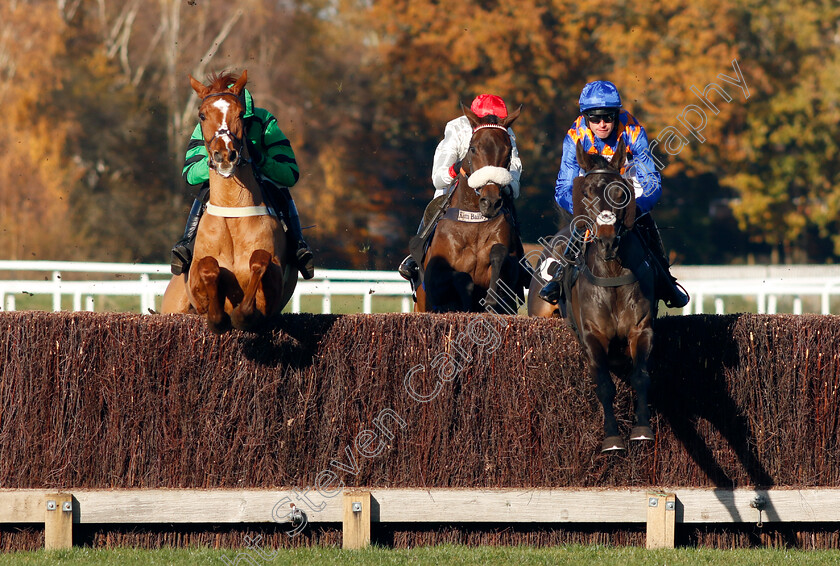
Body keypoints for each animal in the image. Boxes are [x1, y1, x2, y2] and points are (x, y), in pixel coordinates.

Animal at [162, 73, 296, 336]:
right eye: (202, 115)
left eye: (240, 114)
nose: (225, 155)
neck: (233, 210)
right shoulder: (196, 276)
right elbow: (208, 266)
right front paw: (218, 317)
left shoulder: (274, 283)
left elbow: (260, 261)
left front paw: (241, 315)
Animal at [416, 105, 524, 316]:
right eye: (473, 148)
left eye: (508, 152)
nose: (490, 202)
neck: (474, 221)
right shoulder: (434, 278)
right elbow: (462, 278)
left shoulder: (513, 269)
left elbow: (499, 254)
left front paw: (491, 299)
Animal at [552, 139, 664, 452]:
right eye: (586, 192)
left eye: (620, 192)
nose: (607, 241)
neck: (612, 275)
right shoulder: (593, 335)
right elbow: (604, 385)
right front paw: (612, 438)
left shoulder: (641, 328)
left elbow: (641, 376)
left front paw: (641, 429)